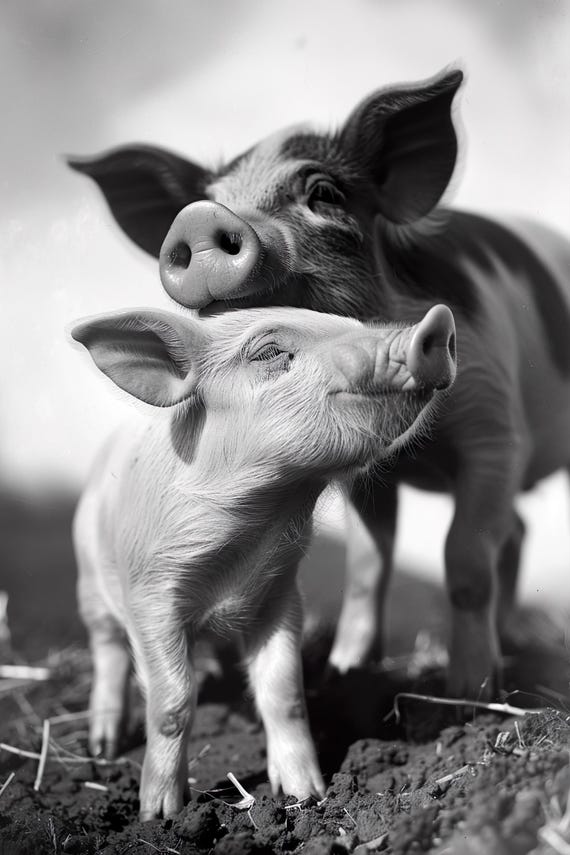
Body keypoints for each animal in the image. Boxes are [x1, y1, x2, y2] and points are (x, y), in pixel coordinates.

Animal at [67, 67, 570, 700]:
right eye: (207, 201)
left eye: (325, 194)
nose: (198, 217)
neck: (421, 452)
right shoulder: (371, 474)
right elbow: (367, 567)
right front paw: (346, 672)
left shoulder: (496, 429)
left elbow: (466, 560)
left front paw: (467, 696)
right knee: (519, 531)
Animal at [71, 304, 457, 819]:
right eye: (270, 352)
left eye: (350, 324)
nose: (437, 320)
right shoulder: (150, 597)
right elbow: (172, 703)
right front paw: (160, 814)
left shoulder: (279, 595)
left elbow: (284, 693)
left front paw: (307, 796)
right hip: (90, 582)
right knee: (108, 650)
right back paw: (103, 747)